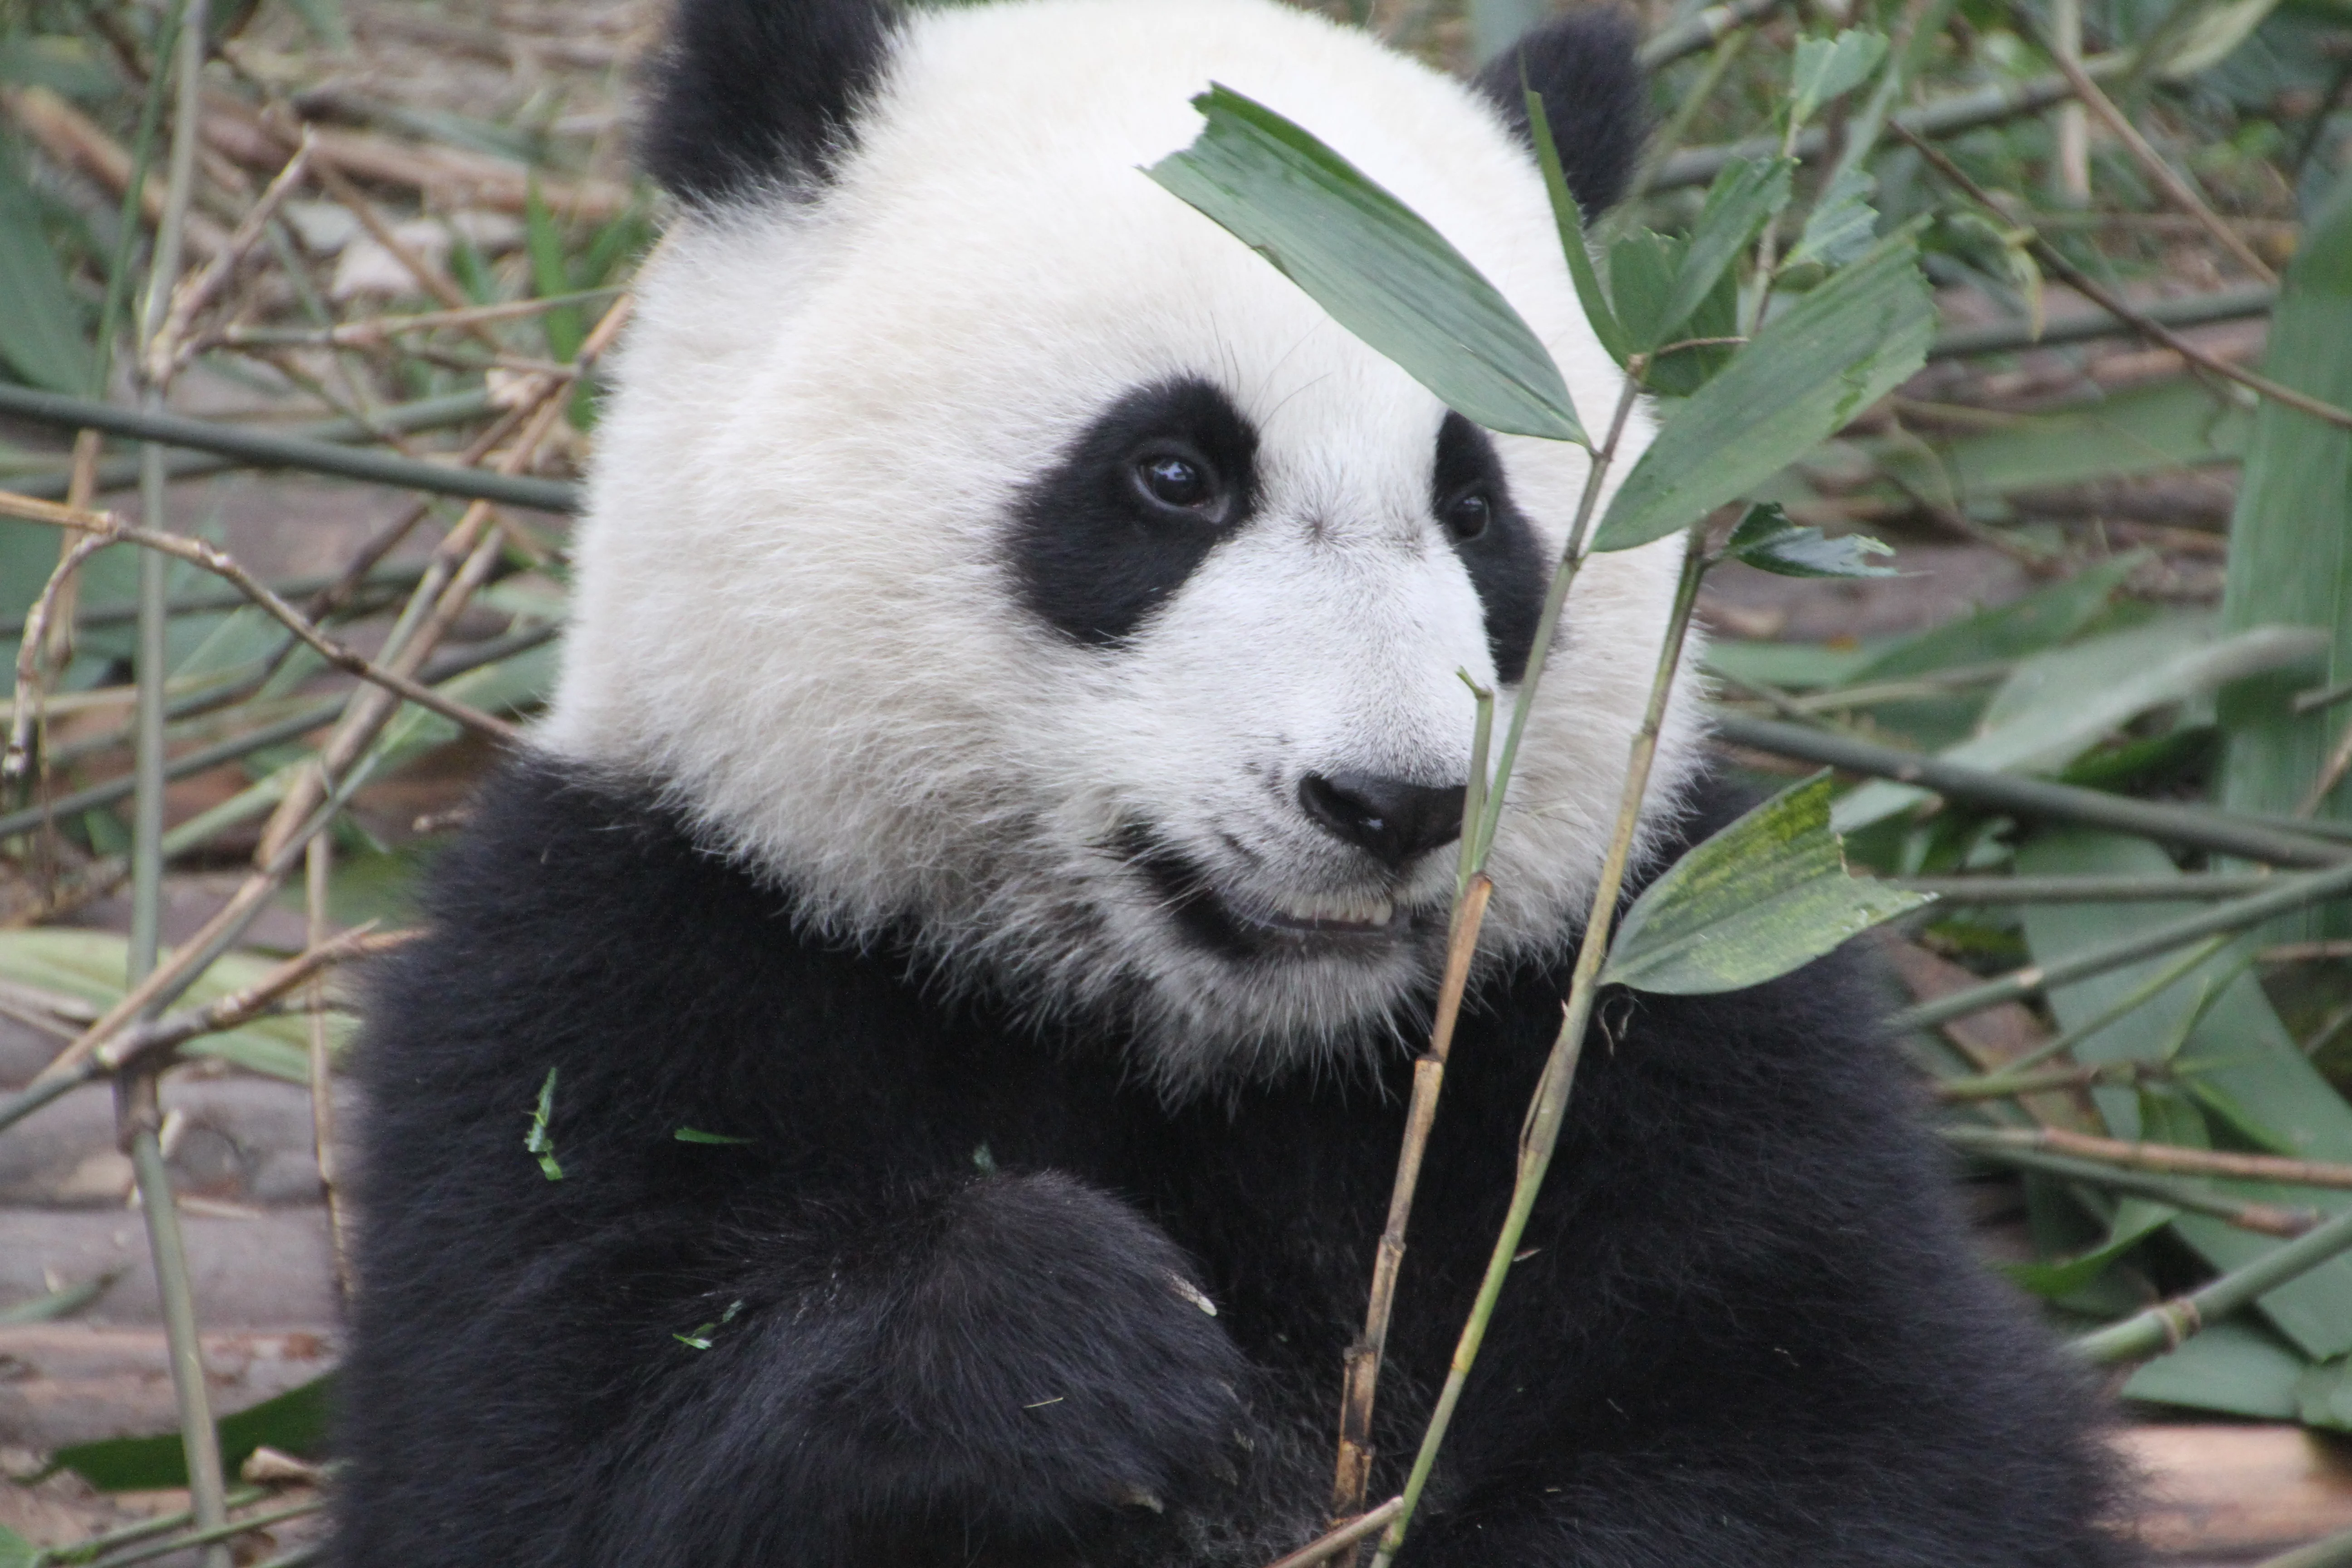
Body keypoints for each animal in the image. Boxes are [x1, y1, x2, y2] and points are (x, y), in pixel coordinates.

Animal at [335, 1, 2130, 1564]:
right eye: (1174, 475)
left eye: (1475, 507)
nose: (1392, 803)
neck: (1208, 1047)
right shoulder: (644, 946)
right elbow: (527, 1453)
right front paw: (1062, 1344)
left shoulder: (1653, 998)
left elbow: (1856, 1426)